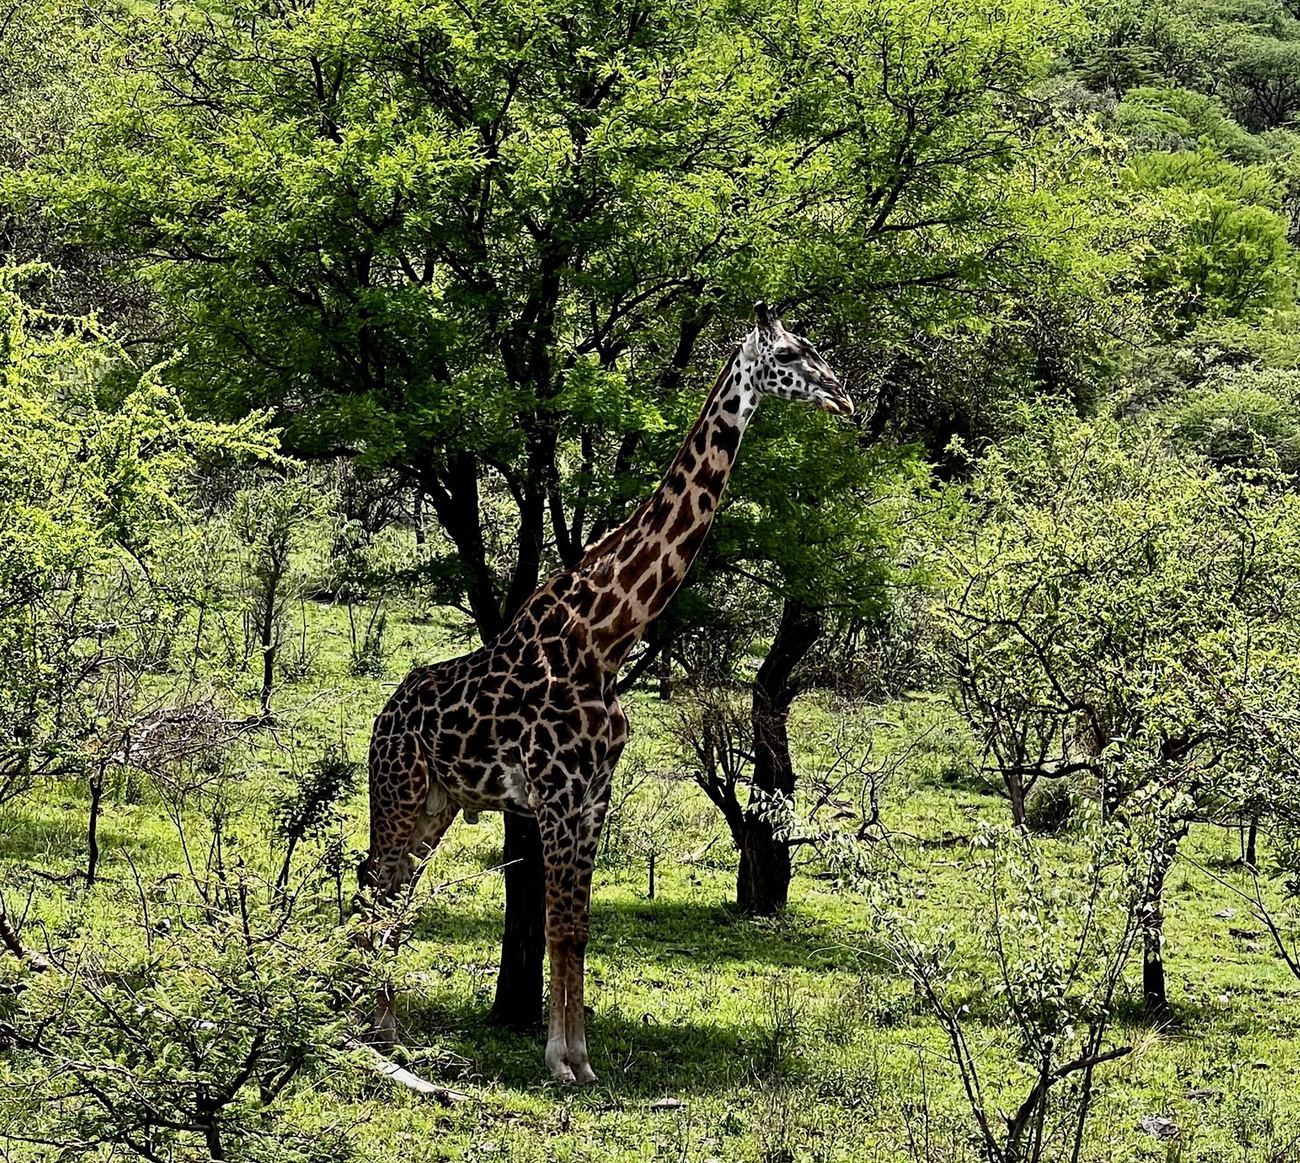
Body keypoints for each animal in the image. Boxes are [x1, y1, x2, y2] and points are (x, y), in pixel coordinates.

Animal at [360, 302, 852, 1084]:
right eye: (790, 353)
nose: (845, 397)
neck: (607, 632)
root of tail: (382, 719)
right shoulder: (558, 790)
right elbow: (561, 924)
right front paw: (560, 1062)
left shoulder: (594, 792)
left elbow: (580, 926)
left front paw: (581, 1060)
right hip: (400, 791)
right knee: (376, 885)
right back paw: (368, 1025)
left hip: (438, 803)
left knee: (392, 888)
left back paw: (381, 1024)